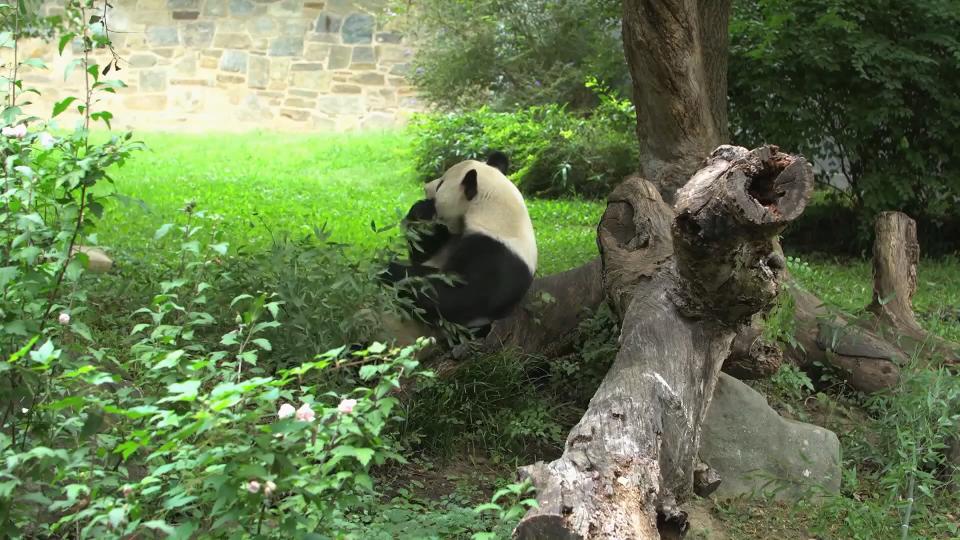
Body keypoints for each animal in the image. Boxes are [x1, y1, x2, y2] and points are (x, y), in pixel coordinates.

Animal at [380, 151, 532, 330]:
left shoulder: (496, 254)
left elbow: (458, 297)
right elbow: (421, 254)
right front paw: (421, 210)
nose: (426, 186)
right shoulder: (450, 233)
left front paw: (389, 268)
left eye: (441, 184)